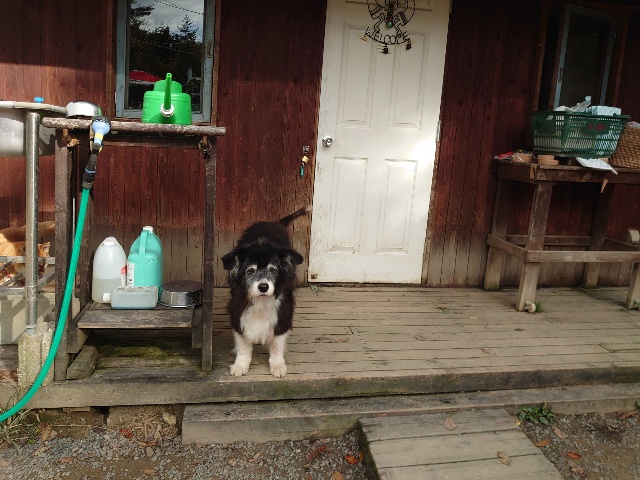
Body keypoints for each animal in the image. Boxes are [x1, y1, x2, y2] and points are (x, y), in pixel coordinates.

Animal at [221, 206, 310, 378]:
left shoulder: (283, 312)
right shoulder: (238, 310)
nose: (263, 287)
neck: (261, 301)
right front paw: (240, 365)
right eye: (250, 271)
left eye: (273, 270)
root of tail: (273, 222)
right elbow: (243, 343)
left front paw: (278, 365)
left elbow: (276, 343)